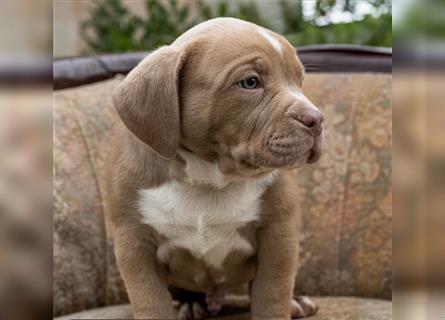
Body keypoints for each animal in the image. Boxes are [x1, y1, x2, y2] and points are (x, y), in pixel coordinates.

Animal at [107, 18, 322, 320]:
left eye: (300, 81)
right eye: (250, 82)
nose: (317, 119)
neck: (210, 176)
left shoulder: (278, 235)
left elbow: (272, 293)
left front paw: (283, 303)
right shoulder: (134, 244)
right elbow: (151, 302)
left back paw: (296, 302)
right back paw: (192, 304)